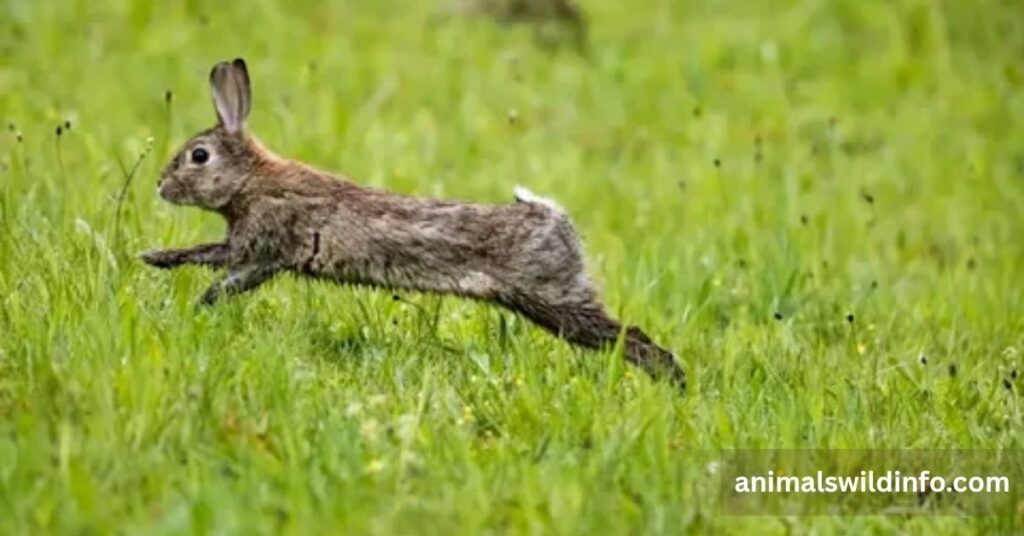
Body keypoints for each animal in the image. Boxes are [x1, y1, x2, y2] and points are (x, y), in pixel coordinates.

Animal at [142, 58, 686, 389]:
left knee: (631, 338)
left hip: (556, 298)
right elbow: (228, 277)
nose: (161, 186)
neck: (251, 179)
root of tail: (553, 217)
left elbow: (212, 256)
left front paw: (157, 261)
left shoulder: (259, 241)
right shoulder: (260, 259)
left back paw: (674, 382)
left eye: (198, 156)